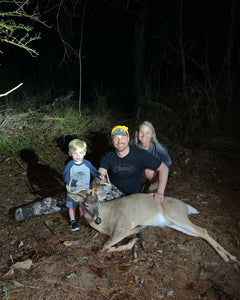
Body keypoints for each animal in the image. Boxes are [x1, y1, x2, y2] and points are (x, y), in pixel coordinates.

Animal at [68, 180, 237, 262]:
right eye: (86, 205)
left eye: (98, 203)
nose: (97, 220)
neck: (107, 220)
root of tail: (186, 207)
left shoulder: (121, 228)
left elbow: (105, 246)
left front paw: (132, 241)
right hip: (174, 224)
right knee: (201, 233)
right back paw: (230, 258)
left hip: (177, 216)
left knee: (203, 230)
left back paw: (229, 258)